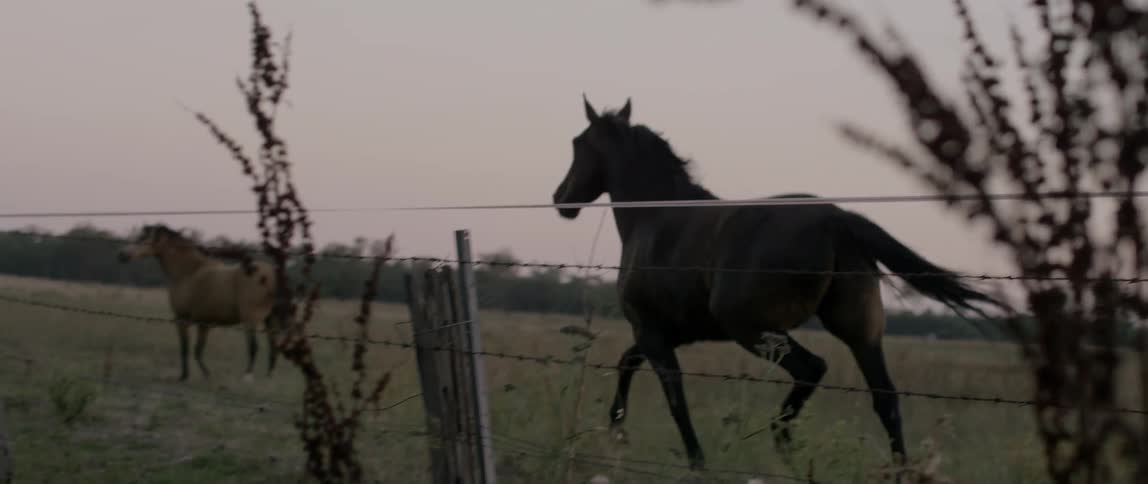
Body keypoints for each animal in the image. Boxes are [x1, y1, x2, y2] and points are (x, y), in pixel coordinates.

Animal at [117, 224, 283, 382]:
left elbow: (185, 348)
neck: (189, 272)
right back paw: (269, 377)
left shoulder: (182, 319)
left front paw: (185, 376)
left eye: (143, 238)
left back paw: (247, 377)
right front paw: (205, 375)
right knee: (273, 347)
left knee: (254, 346)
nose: (122, 255)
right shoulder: (204, 324)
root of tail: (270, 275)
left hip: (251, 319)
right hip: (270, 319)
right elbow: (198, 351)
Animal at [550, 96, 1002, 472]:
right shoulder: (671, 332)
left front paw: (693, 459)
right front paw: (616, 429)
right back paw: (896, 469)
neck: (654, 219)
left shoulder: (652, 331)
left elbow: (672, 393)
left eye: (578, 143)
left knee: (813, 368)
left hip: (755, 330)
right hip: (859, 332)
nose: (561, 200)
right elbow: (627, 361)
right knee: (885, 398)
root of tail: (836, 218)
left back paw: (782, 440)